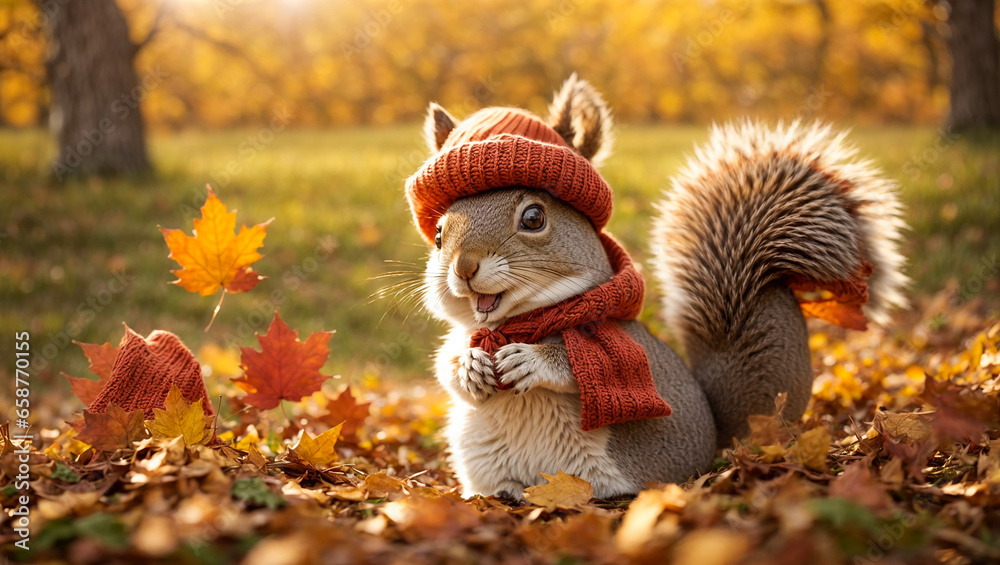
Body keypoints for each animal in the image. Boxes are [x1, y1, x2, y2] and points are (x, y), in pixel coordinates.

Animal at [402, 74, 908, 500]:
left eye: (533, 217)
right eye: (440, 232)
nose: (464, 267)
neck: (519, 322)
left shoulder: (629, 351)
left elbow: (596, 374)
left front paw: (534, 359)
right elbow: (447, 364)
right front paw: (469, 364)